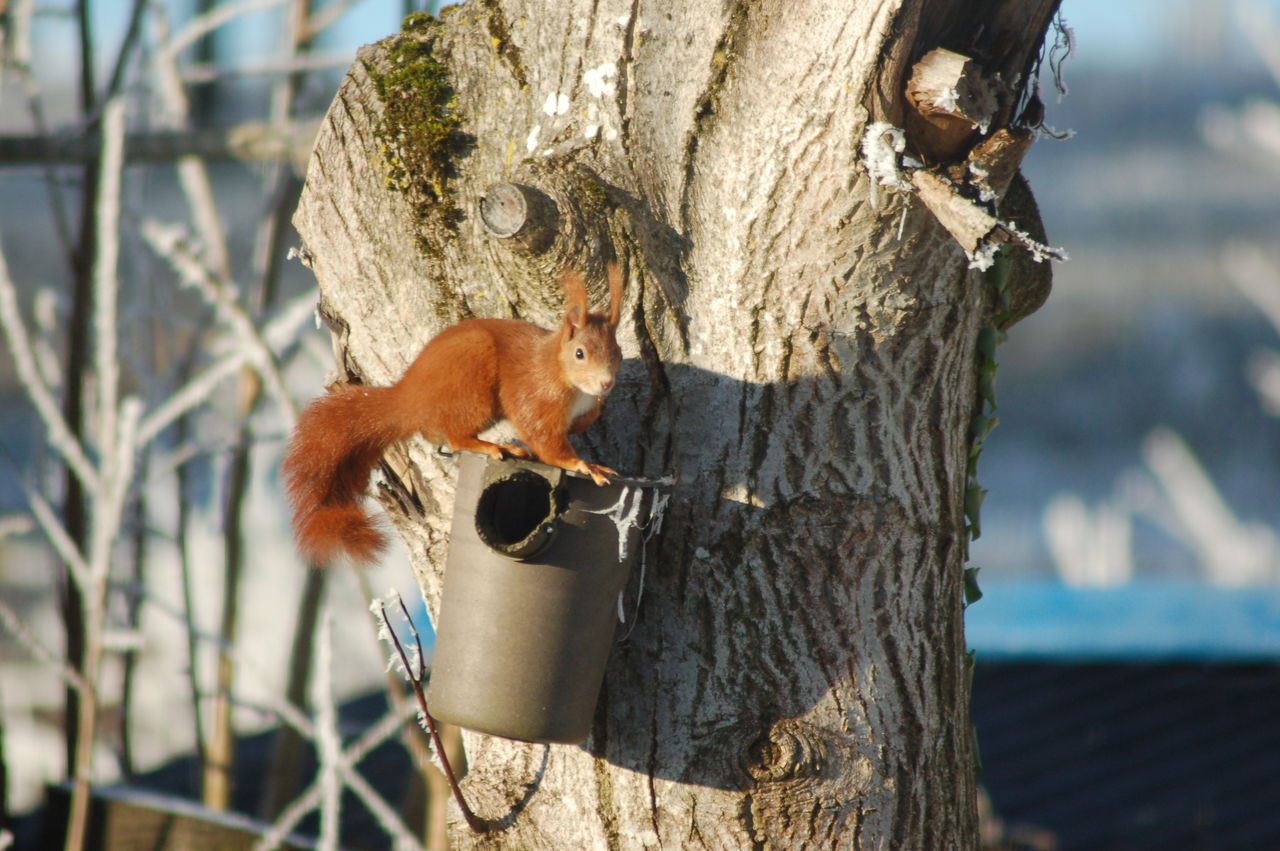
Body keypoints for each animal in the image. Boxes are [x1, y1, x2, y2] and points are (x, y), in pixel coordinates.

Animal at [282, 262, 622, 568]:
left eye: (617, 352)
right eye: (580, 354)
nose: (607, 383)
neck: (563, 372)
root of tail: (409, 397)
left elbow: (583, 421)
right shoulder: (535, 394)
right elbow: (545, 440)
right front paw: (585, 465)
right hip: (473, 389)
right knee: (457, 437)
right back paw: (495, 446)